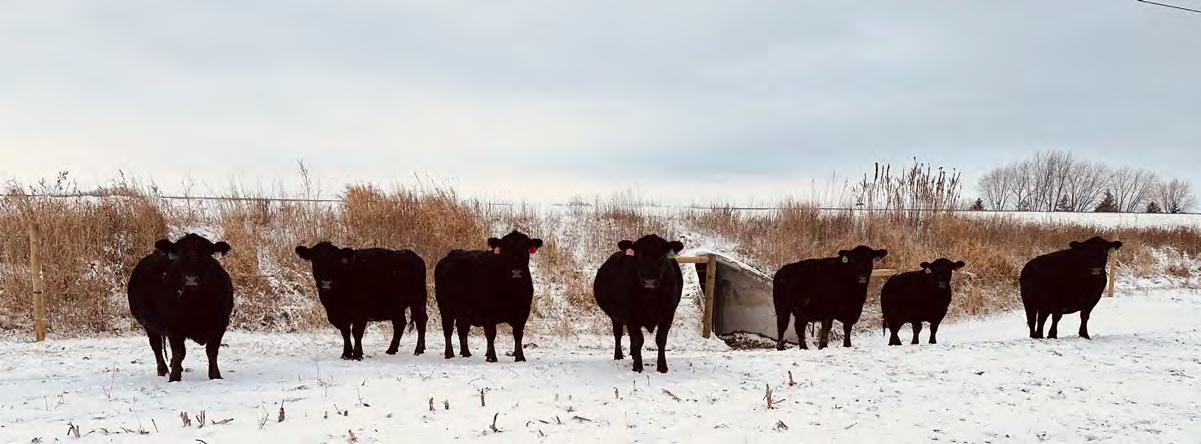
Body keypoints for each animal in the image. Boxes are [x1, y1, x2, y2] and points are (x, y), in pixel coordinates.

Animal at [127, 233, 233, 382]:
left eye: (207, 255)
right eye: (180, 256)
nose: (191, 279)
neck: (198, 302)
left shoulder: (220, 324)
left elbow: (212, 351)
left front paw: (215, 376)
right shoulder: (174, 328)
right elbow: (179, 353)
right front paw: (174, 378)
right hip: (148, 325)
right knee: (156, 346)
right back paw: (163, 369)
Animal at [295, 242, 428, 360]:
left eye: (335, 261)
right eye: (315, 261)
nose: (326, 283)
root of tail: (413, 255)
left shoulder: (360, 312)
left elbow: (356, 332)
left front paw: (357, 355)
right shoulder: (338, 315)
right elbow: (345, 333)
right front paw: (346, 354)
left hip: (418, 300)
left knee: (421, 321)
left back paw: (418, 350)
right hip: (396, 307)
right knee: (400, 324)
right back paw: (391, 350)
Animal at [434, 230, 543, 362]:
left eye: (525, 249)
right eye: (505, 250)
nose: (516, 272)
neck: (511, 291)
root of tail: (449, 255)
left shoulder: (522, 312)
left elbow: (518, 334)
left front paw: (520, 357)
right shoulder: (487, 314)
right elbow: (491, 334)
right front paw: (491, 357)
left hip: (463, 312)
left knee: (462, 330)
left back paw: (466, 353)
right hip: (446, 308)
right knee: (448, 330)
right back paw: (449, 353)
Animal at [593, 234, 685, 373]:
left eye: (662, 256)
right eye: (639, 256)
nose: (649, 281)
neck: (650, 297)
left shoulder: (668, 313)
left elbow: (661, 339)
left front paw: (662, 367)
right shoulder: (631, 315)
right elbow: (638, 340)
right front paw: (637, 366)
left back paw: (632, 354)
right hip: (616, 317)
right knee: (618, 334)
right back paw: (619, 356)